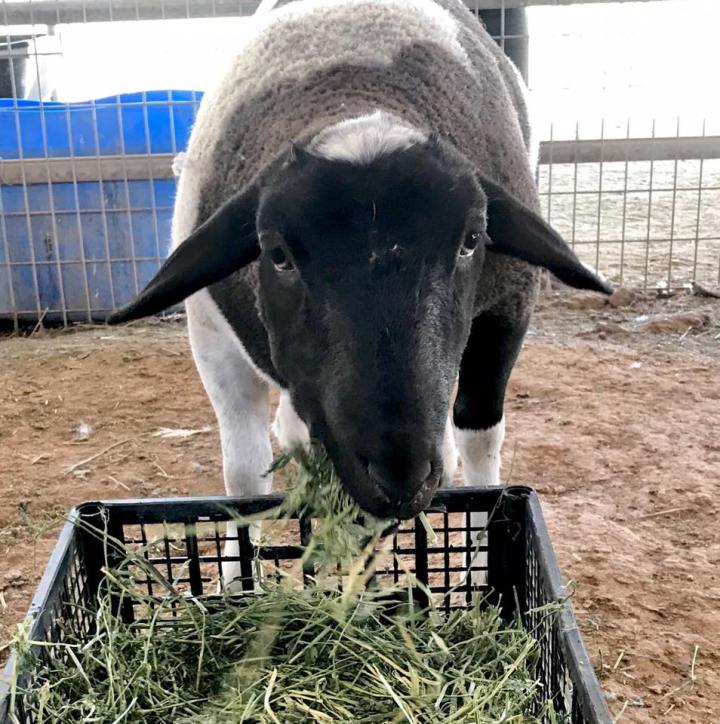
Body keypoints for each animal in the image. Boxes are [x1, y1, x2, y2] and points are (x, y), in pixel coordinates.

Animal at [109, 0, 612, 576]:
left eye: (471, 240)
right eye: (278, 254)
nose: (399, 476)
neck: (354, 92)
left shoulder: (508, 310)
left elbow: (480, 441)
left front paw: (482, 566)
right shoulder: (211, 336)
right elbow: (243, 474)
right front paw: (238, 578)